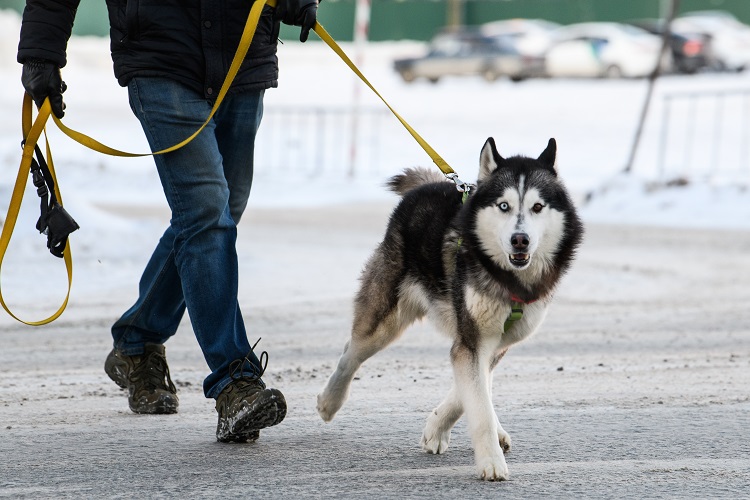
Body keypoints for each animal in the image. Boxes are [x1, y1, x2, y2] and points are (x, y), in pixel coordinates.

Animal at [318, 137, 588, 480]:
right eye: (504, 206)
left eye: (537, 207)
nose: (520, 240)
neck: (509, 279)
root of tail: (430, 185)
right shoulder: (472, 339)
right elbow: (477, 403)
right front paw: (490, 462)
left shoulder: (494, 341)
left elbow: (471, 393)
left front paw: (437, 429)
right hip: (385, 319)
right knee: (351, 351)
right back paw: (330, 401)